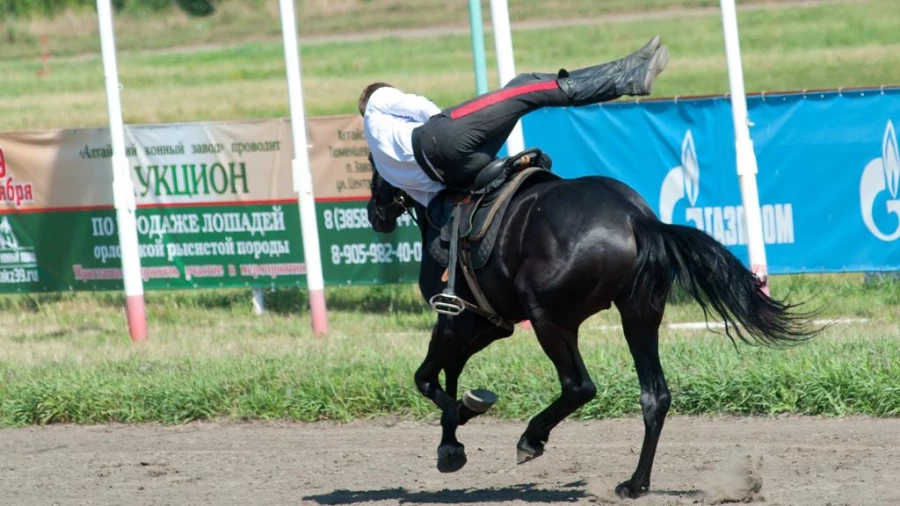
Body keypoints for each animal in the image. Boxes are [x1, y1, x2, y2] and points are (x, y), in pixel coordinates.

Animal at [364, 163, 816, 498]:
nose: (373, 211)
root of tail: (637, 218)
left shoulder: (457, 321)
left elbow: (427, 378)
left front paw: (461, 418)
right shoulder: (486, 326)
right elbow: (449, 374)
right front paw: (450, 444)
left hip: (551, 320)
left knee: (579, 385)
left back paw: (532, 438)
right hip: (638, 315)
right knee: (655, 396)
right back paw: (635, 484)